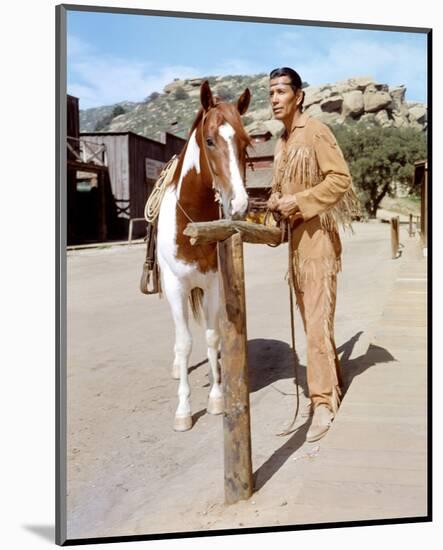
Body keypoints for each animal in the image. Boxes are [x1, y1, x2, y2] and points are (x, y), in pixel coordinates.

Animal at [158, 80, 251, 434]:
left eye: (245, 143)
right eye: (210, 140)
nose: (239, 203)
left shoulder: (212, 285)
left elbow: (212, 338)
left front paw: (217, 397)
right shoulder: (175, 286)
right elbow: (185, 343)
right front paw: (183, 411)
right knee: (178, 338)